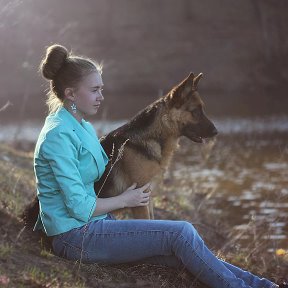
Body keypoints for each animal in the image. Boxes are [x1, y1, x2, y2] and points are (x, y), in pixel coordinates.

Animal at [22, 71, 218, 227]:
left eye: (202, 110)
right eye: (196, 112)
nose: (216, 132)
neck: (152, 136)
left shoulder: (147, 196)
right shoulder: (140, 200)